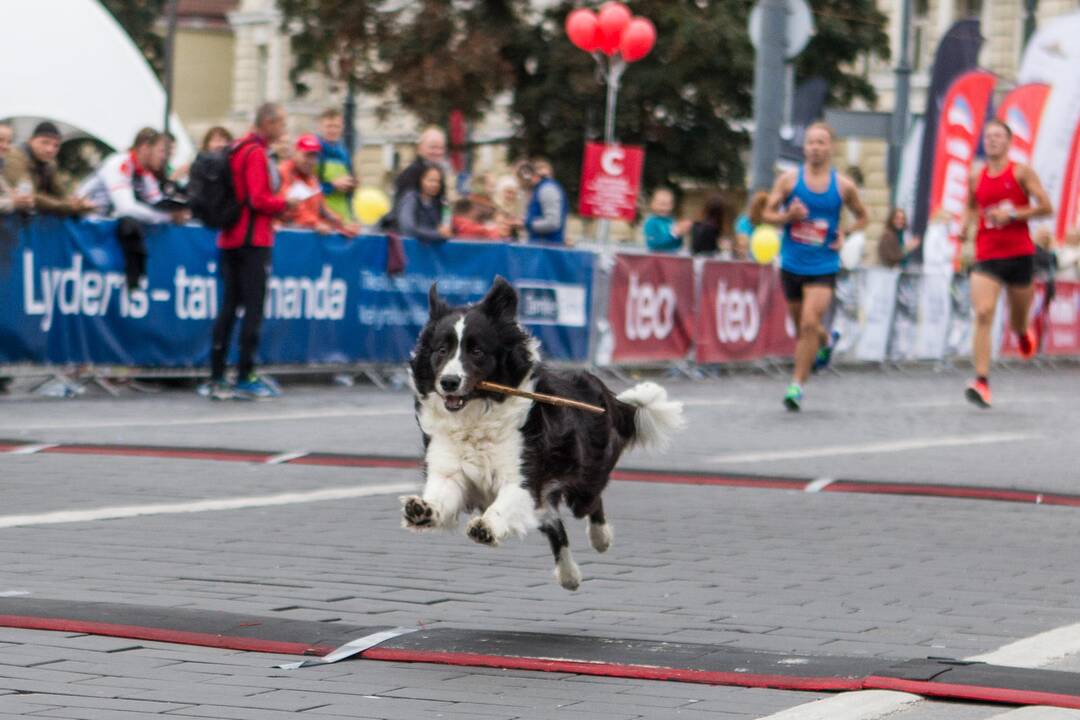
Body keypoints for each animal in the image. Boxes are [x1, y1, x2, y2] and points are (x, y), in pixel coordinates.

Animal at [406, 278, 682, 591]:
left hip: (584, 481)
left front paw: (486, 527)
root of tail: (600, 389)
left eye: (477, 351)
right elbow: (442, 494)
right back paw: (569, 576)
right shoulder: (449, 469)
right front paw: (421, 510)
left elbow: (506, 504)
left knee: (591, 503)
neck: (477, 415)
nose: (449, 382)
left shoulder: (525, 479)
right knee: (555, 524)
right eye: (441, 350)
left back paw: (601, 539)